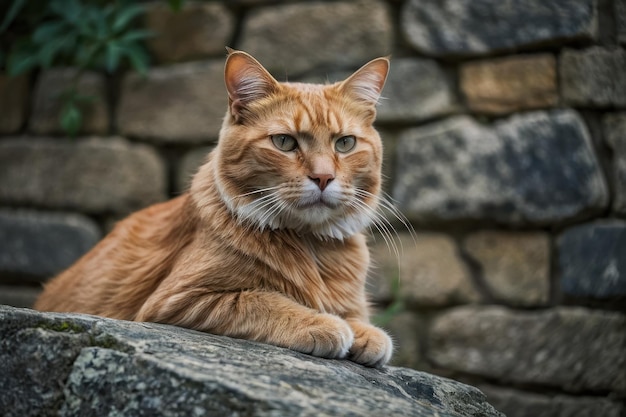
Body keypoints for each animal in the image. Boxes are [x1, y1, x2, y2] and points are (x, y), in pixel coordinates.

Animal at [34, 48, 392, 366]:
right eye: (284, 142)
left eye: (344, 144)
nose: (323, 177)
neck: (310, 246)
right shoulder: (180, 299)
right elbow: (266, 300)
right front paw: (324, 323)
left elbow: (355, 317)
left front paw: (364, 332)